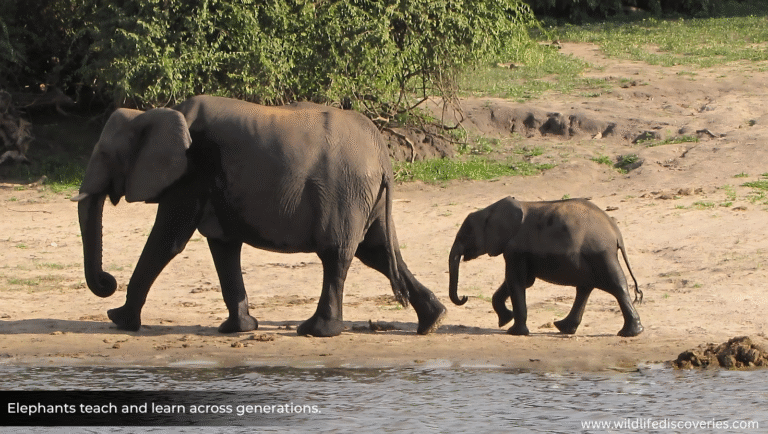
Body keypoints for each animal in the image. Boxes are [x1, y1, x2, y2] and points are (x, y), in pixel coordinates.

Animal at [71, 95, 446, 337]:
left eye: (104, 154)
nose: (107, 281)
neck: (152, 114)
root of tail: (382, 154)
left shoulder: (191, 172)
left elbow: (167, 240)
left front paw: (119, 320)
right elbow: (222, 246)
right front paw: (236, 329)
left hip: (345, 192)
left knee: (337, 255)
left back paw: (316, 331)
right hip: (366, 196)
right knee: (378, 251)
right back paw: (433, 321)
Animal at [448, 196, 643, 337]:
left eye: (465, 235)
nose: (464, 297)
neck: (489, 210)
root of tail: (616, 233)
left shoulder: (515, 249)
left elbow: (515, 281)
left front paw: (514, 332)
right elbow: (522, 281)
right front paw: (504, 321)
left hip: (600, 254)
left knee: (616, 286)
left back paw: (629, 333)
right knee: (585, 288)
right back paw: (563, 328)